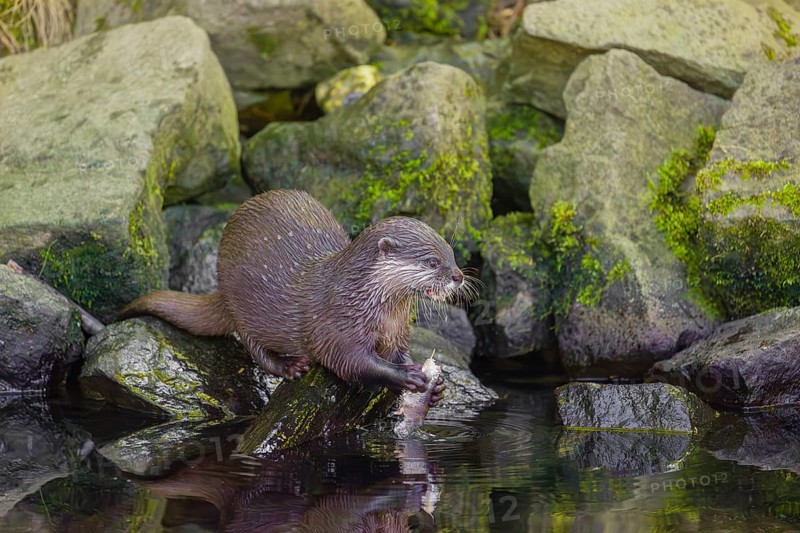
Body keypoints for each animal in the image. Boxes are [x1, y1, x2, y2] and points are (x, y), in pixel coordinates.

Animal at [120, 189, 472, 396]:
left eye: (451, 253)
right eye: (432, 261)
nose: (458, 276)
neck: (363, 301)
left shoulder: (397, 331)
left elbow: (399, 352)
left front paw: (434, 383)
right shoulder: (336, 327)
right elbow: (353, 364)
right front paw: (404, 376)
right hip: (241, 306)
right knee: (254, 348)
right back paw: (291, 367)